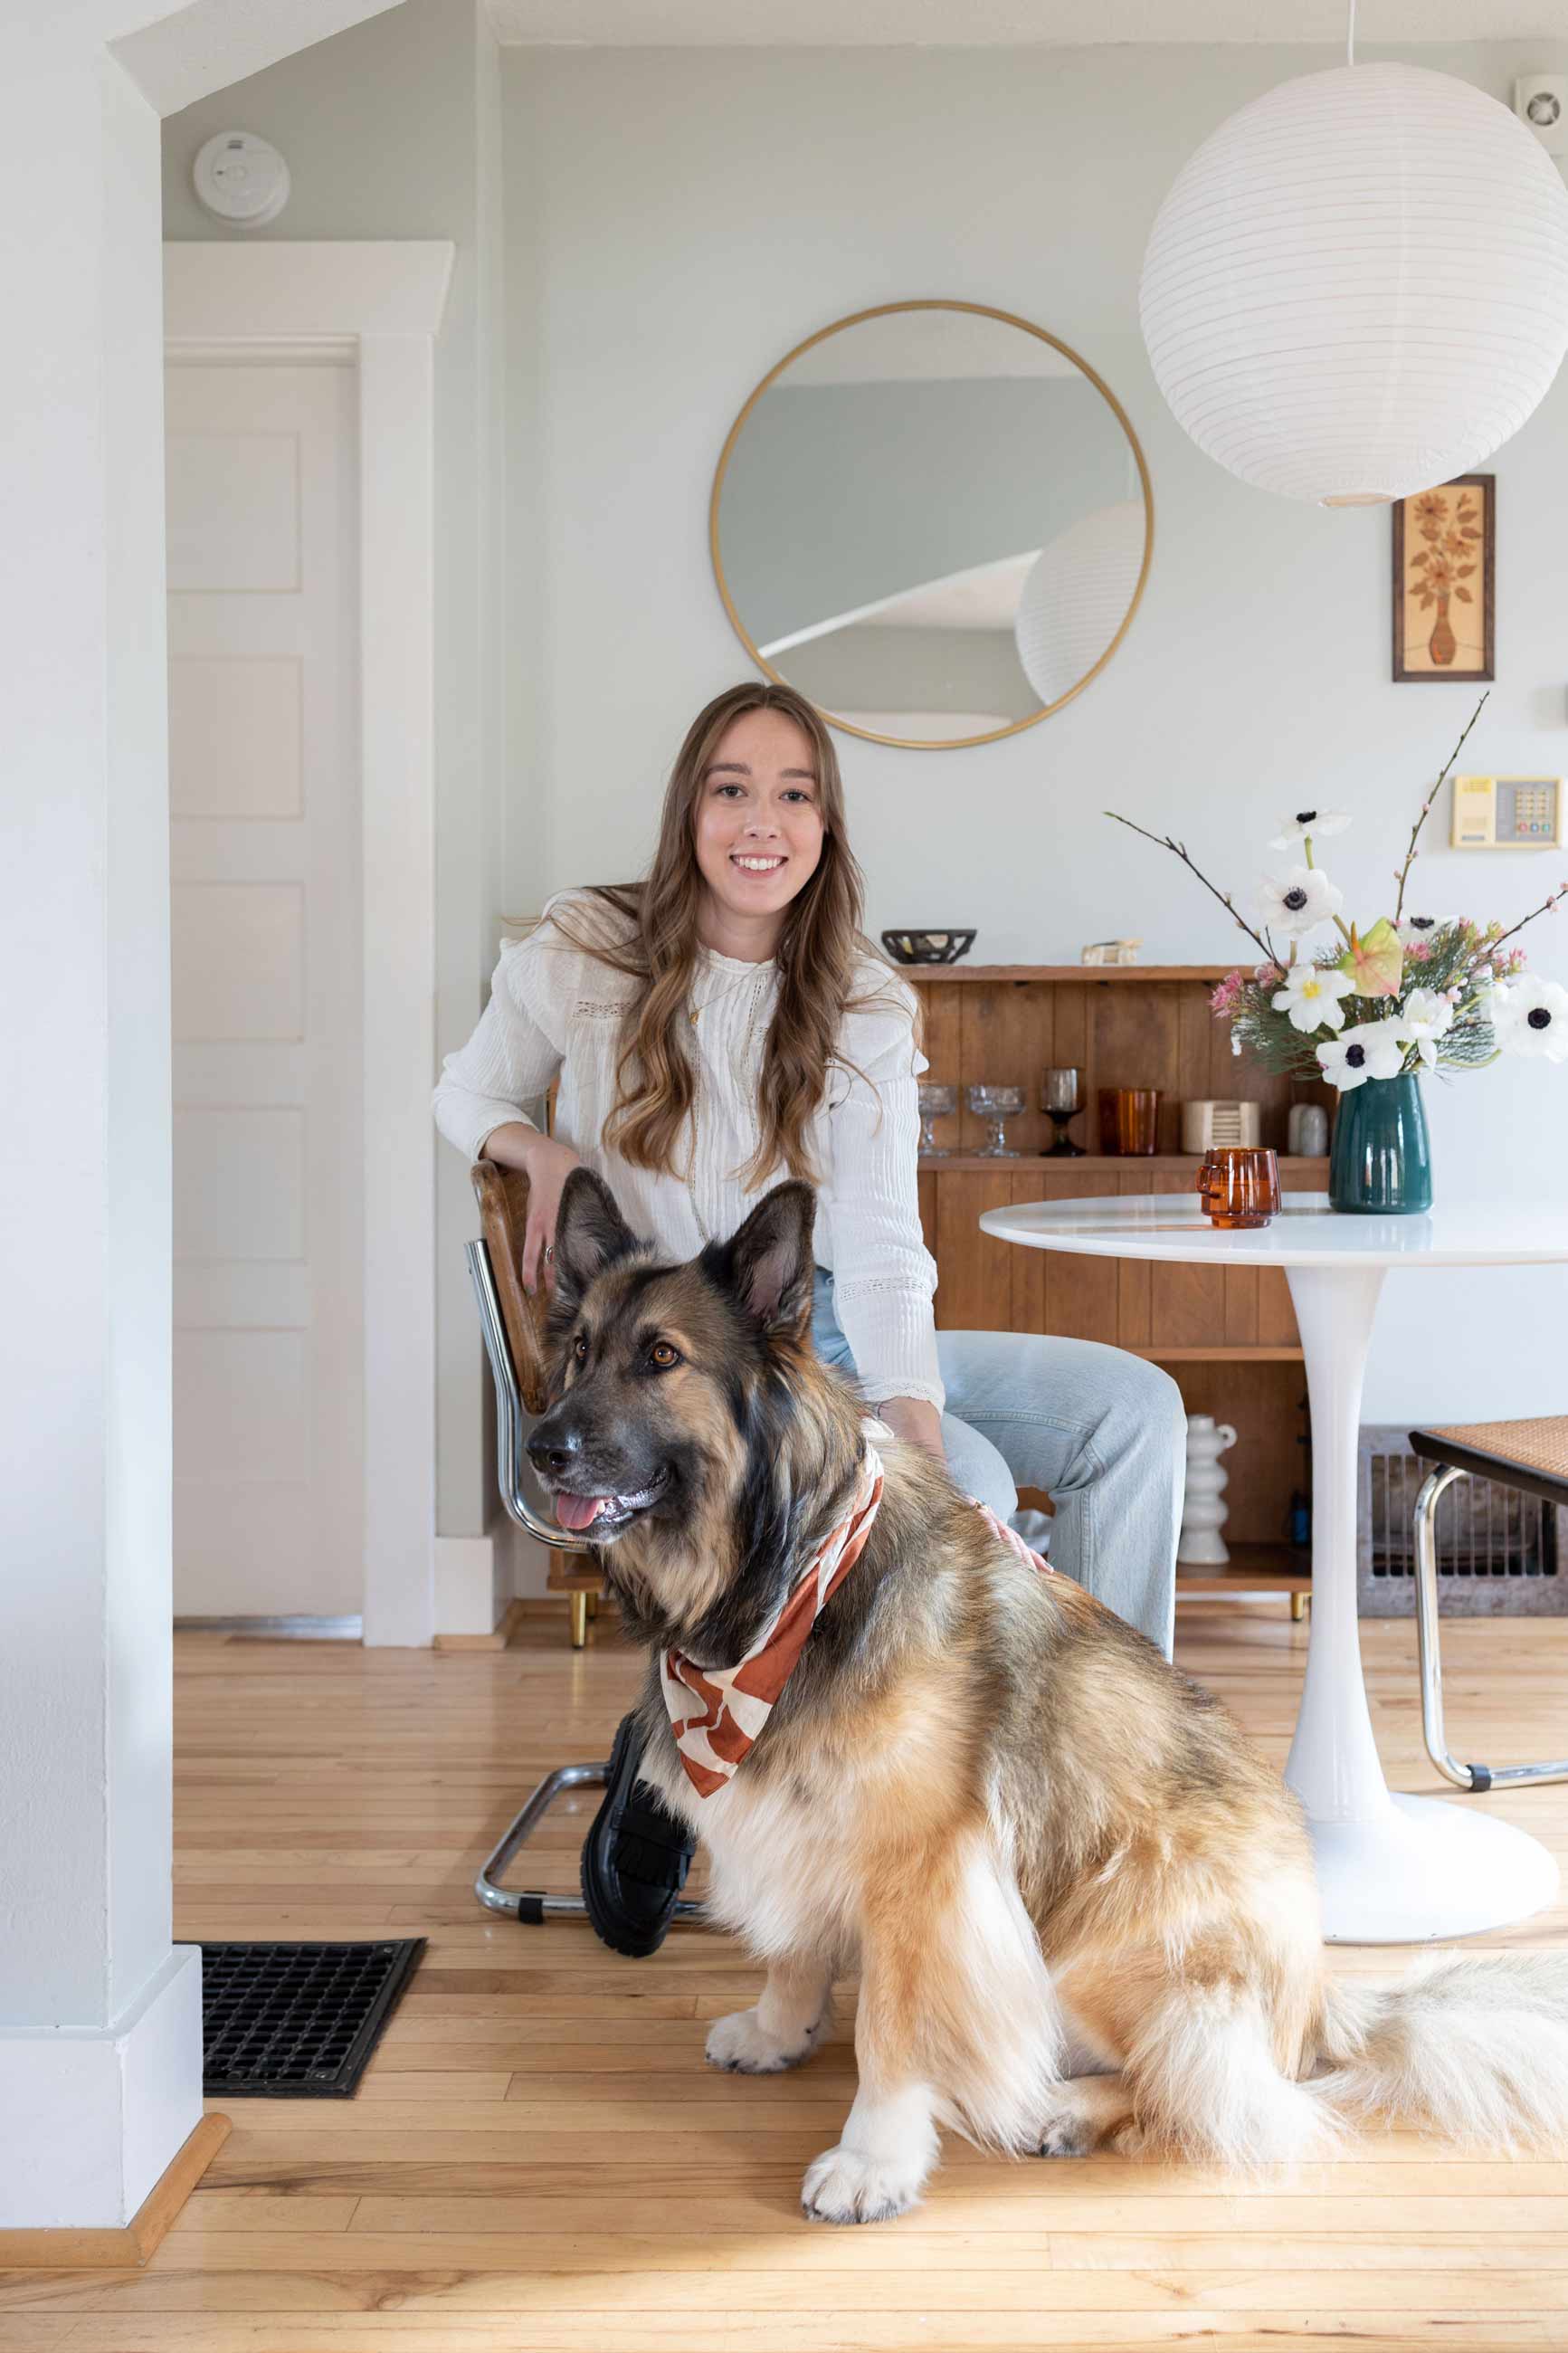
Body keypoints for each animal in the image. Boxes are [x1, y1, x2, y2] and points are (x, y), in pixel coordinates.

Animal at [524, 1171, 1568, 2221]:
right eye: (577, 1351)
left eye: (661, 1356)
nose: (540, 1449)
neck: (783, 1589)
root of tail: (1318, 2005)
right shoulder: (800, 1815)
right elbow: (796, 1946)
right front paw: (781, 2031)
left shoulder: (925, 1869)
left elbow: (893, 2028)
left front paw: (872, 2159)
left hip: (1107, 1926)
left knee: (1203, 2087)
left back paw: (1061, 2109)